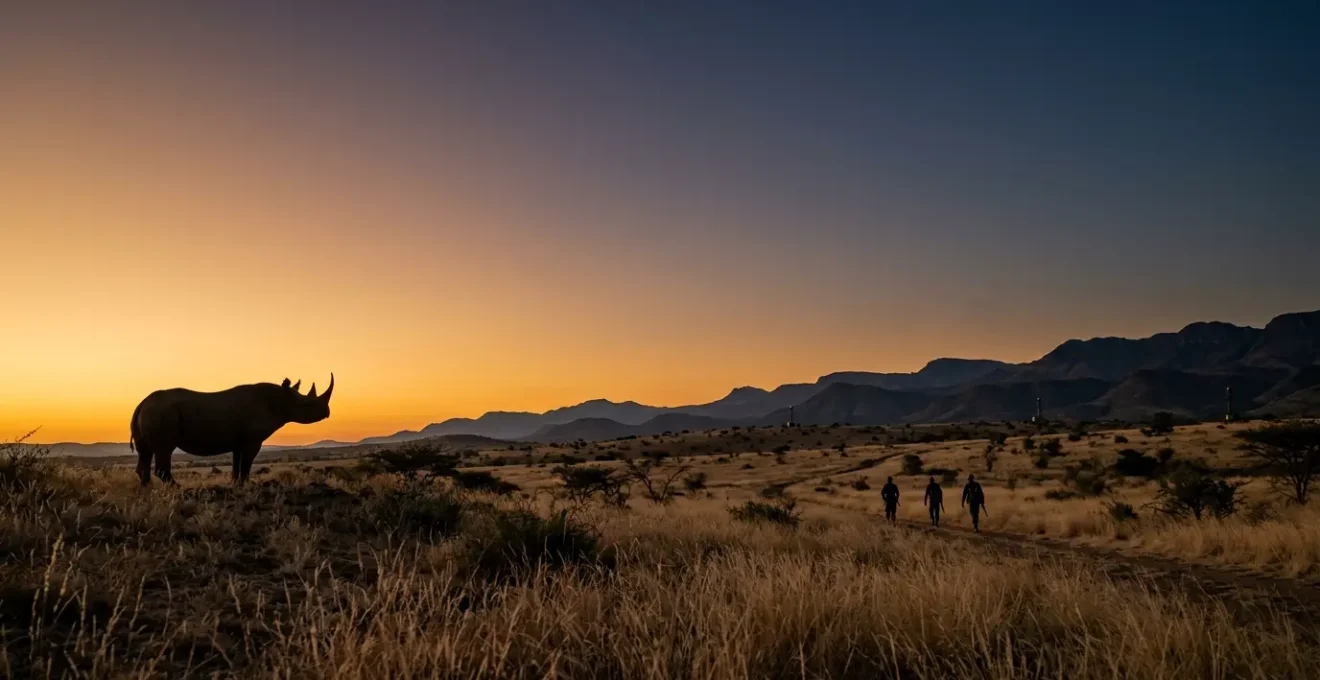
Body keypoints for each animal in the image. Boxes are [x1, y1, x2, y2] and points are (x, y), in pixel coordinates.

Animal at [129, 375, 334, 486]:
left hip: (153, 411)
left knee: (145, 452)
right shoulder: (253, 440)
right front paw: (247, 484)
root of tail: (142, 403)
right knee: (164, 449)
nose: (327, 413)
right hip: (162, 412)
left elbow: (237, 463)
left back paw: (147, 489)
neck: (280, 401)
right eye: (308, 405)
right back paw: (178, 488)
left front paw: (236, 484)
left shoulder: (238, 441)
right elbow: (247, 463)